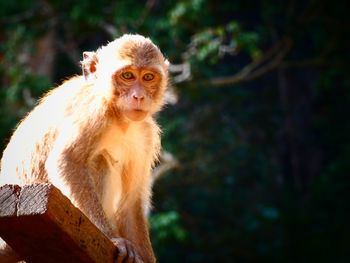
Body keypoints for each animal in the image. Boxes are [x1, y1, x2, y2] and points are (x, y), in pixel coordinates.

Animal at [0, 34, 170, 262]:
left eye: (148, 78)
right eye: (127, 75)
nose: (139, 96)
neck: (119, 117)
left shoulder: (145, 135)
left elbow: (130, 202)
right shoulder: (94, 111)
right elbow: (66, 160)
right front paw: (114, 239)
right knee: (99, 160)